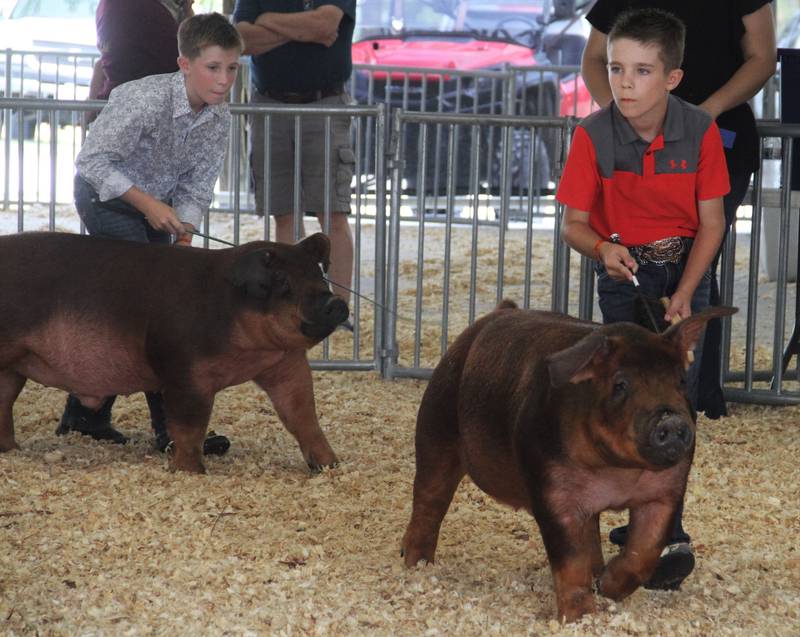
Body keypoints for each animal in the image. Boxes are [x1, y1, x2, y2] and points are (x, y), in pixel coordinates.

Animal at [0, 231, 350, 470]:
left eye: (319, 275)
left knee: (3, 404)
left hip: (12, 368)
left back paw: (12, 451)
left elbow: (302, 415)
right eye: (281, 281)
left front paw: (331, 465)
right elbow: (188, 425)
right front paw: (191, 472)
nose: (336, 303)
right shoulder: (183, 369)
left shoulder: (286, 365)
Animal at [400, 300, 736, 620]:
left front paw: (606, 588)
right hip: (436, 425)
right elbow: (570, 559)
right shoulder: (552, 492)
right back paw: (416, 565)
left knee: (591, 533)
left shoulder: (665, 493)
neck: (617, 472)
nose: (671, 420)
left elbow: (644, 551)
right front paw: (580, 617)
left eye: (680, 381)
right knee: (429, 501)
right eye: (620, 384)